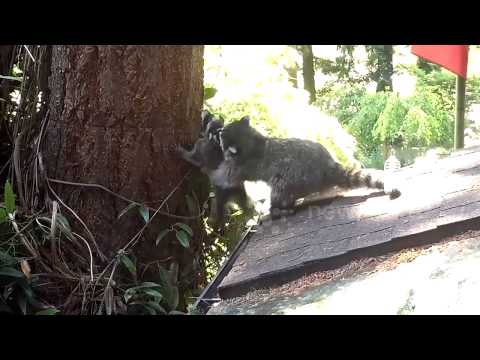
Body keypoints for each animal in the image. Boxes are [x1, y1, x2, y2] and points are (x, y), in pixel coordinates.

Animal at [219, 116, 400, 219]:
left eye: (225, 131)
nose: (219, 130)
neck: (251, 138)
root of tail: (328, 165)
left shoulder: (247, 163)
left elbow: (233, 173)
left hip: (295, 177)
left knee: (279, 185)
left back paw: (277, 209)